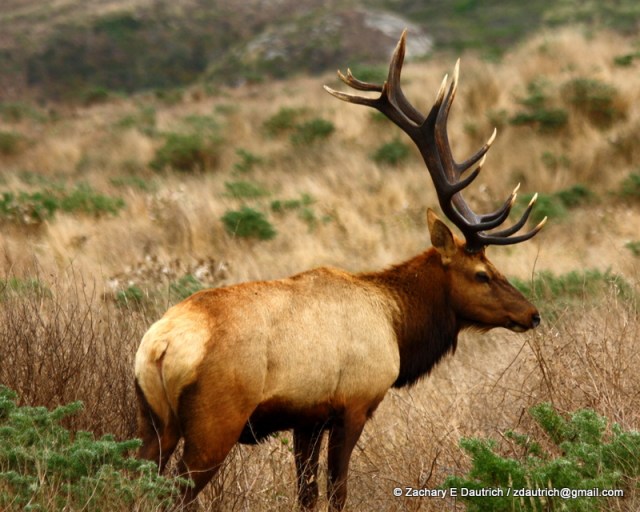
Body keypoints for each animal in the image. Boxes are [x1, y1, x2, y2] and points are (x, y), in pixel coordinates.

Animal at [134, 30, 546, 511]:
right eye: (482, 273)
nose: (532, 314)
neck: (397, 323)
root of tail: (159, 346)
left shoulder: (306, 419)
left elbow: (307, 493)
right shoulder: (354, 404)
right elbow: (338, 490)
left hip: (150, 421)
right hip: (214, 424)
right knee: (174, 494)